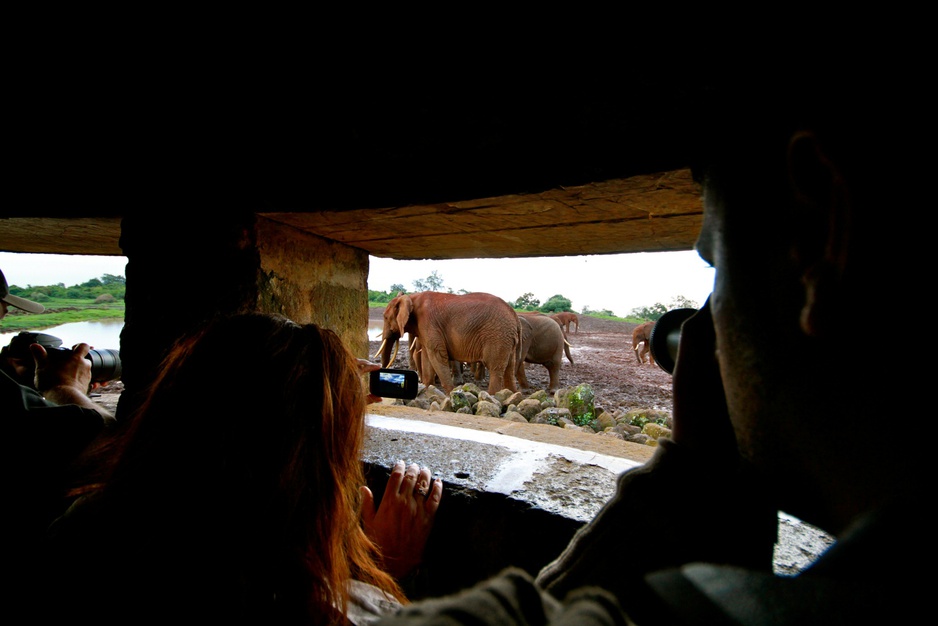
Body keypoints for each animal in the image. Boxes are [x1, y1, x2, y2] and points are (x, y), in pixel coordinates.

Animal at [372, 292, 520, 392]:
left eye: (385, 317)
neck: (412, 297)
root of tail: (514, 315)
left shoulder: (429, 323)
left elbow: (437, 356)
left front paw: (451, 394)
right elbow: (427, 358)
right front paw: (428, 390)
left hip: (497, 336)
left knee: (495, 369)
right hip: (507, 338)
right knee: (509, 369)